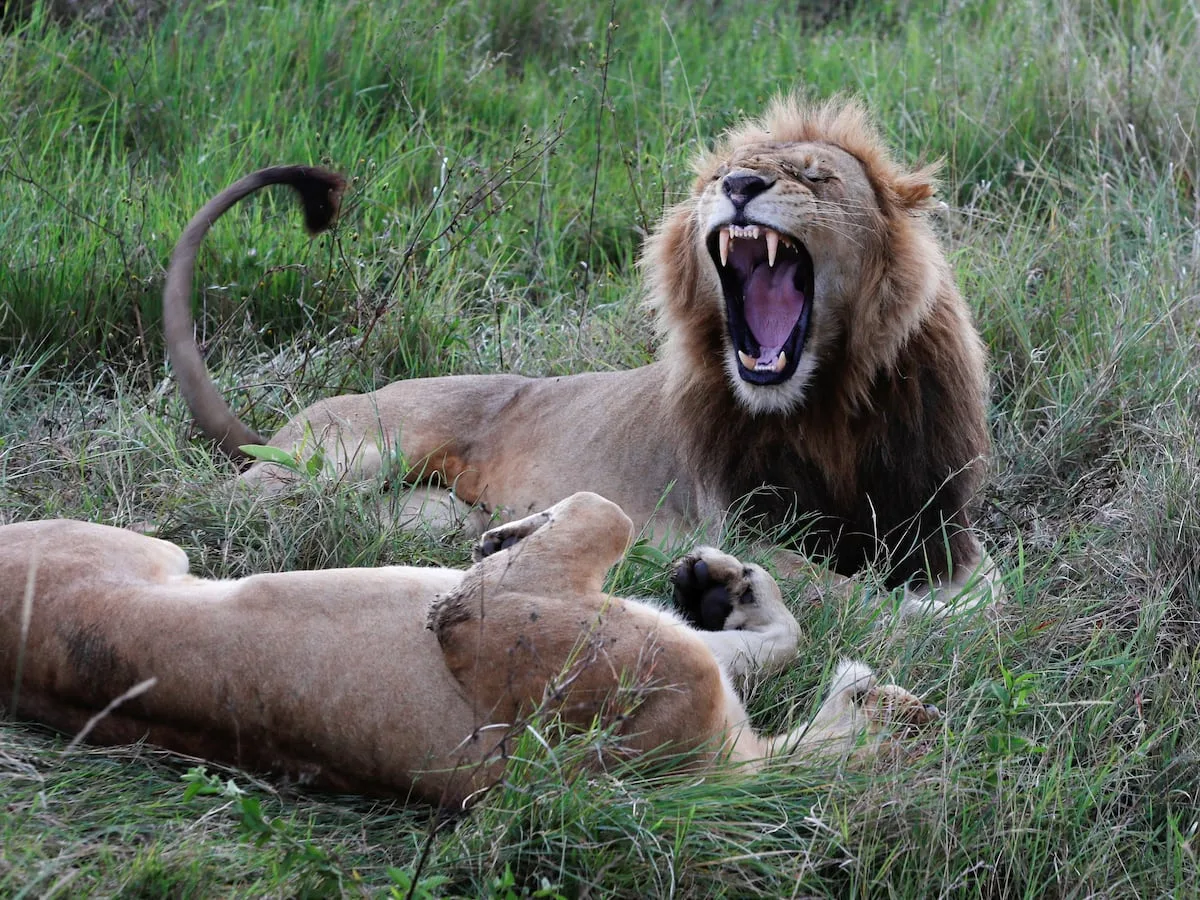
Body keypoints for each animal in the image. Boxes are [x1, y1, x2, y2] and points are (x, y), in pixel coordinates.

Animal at [164, 97, 998, 615]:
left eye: (815, 176)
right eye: (723, 173)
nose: (738, 183)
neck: (824, 406)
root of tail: (287, 427)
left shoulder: (937, 522)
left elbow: (988, 591)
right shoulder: (739, 525)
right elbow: (849, 593)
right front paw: (911, 614)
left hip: (418, 509)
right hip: (348, 454)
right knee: (221, 503)